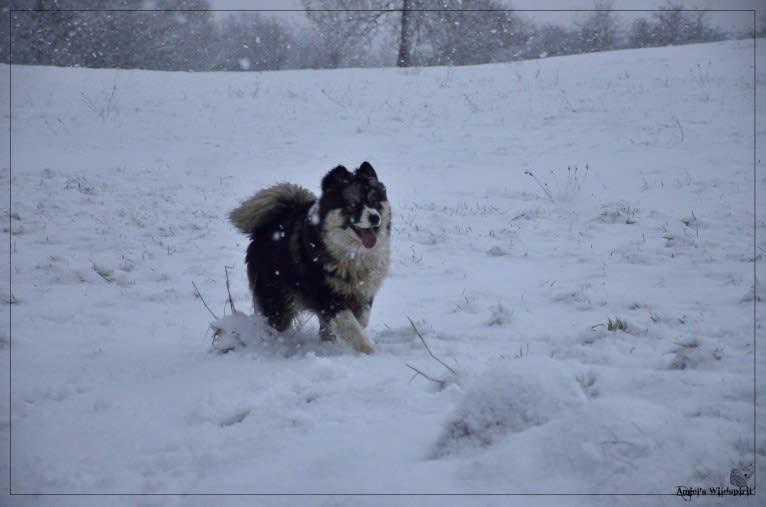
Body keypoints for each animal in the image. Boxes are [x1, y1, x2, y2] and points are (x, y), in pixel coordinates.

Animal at [230, 162, 392, 354]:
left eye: (374, 201)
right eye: (352, 206)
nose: (375, 217)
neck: (352, 253)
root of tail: (264, 229)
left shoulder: (364, 290)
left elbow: (362, 319)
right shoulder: (328, 297)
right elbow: (350, 325)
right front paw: (368, 351)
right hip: (276, 297)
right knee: (276, 322)